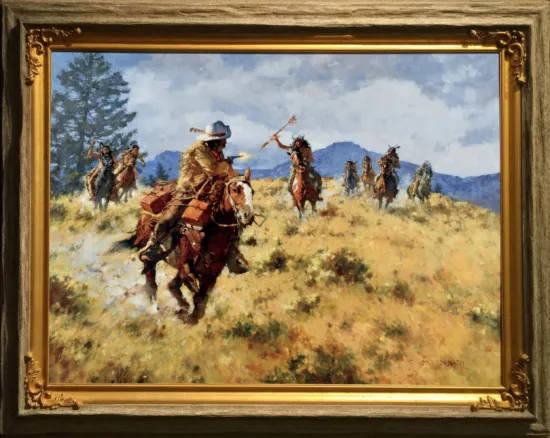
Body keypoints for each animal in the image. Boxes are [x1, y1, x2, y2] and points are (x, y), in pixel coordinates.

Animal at [115, 169, 255, 325]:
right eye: (235, 190)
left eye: (252, 192)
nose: (248, 215)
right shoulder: (186, 267)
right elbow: (193, 293)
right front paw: (185, 314)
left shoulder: (212, 271)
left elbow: (200, 299)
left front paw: (187, 314)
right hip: (152, 258)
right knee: (151, 282)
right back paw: (154, 308)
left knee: (172, 284)